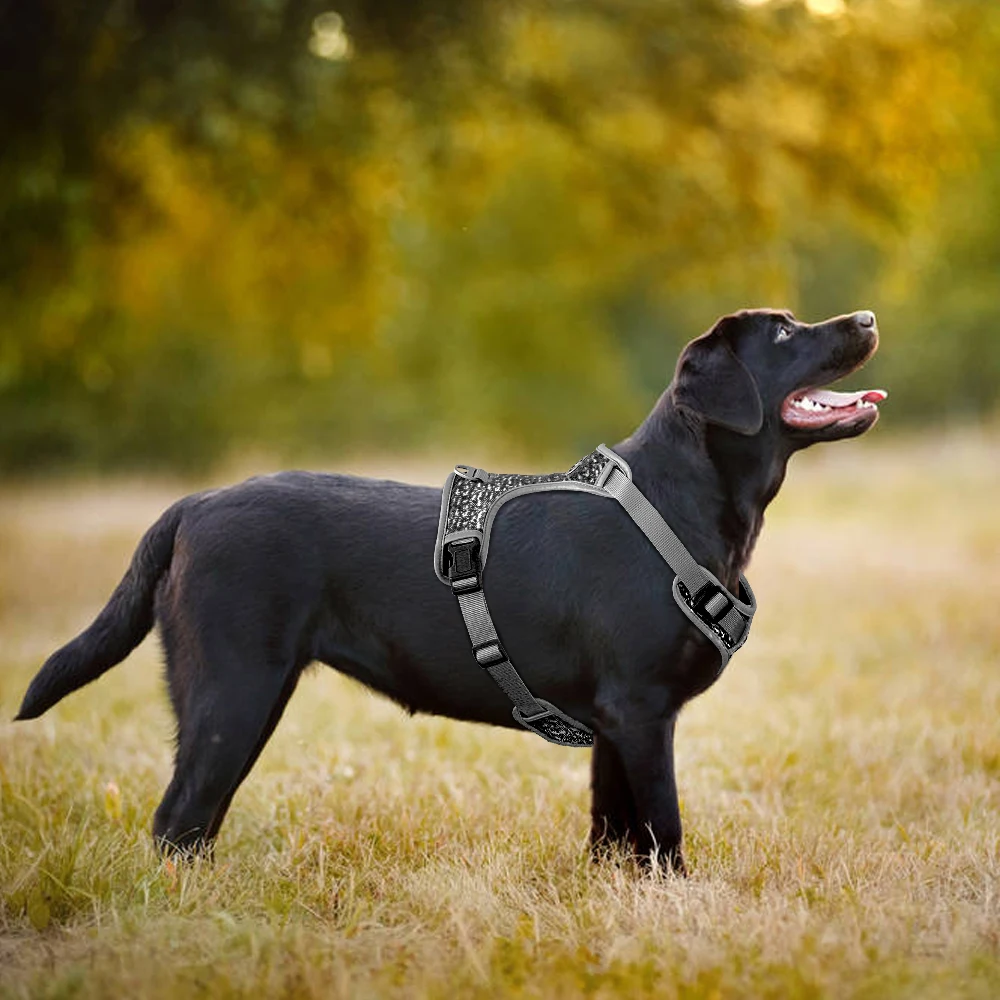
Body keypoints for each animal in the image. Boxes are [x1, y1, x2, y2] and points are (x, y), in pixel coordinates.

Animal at [15, 308, 884, 872]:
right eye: (784, 333)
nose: (868, 318)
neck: (677, 504)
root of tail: (190, 506)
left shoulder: (614, 723)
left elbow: (613, 834)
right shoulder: (643, 712)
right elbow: (664, 832)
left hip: (242, 701)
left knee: (194, 824)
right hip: (232, 693)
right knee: (178, 820)